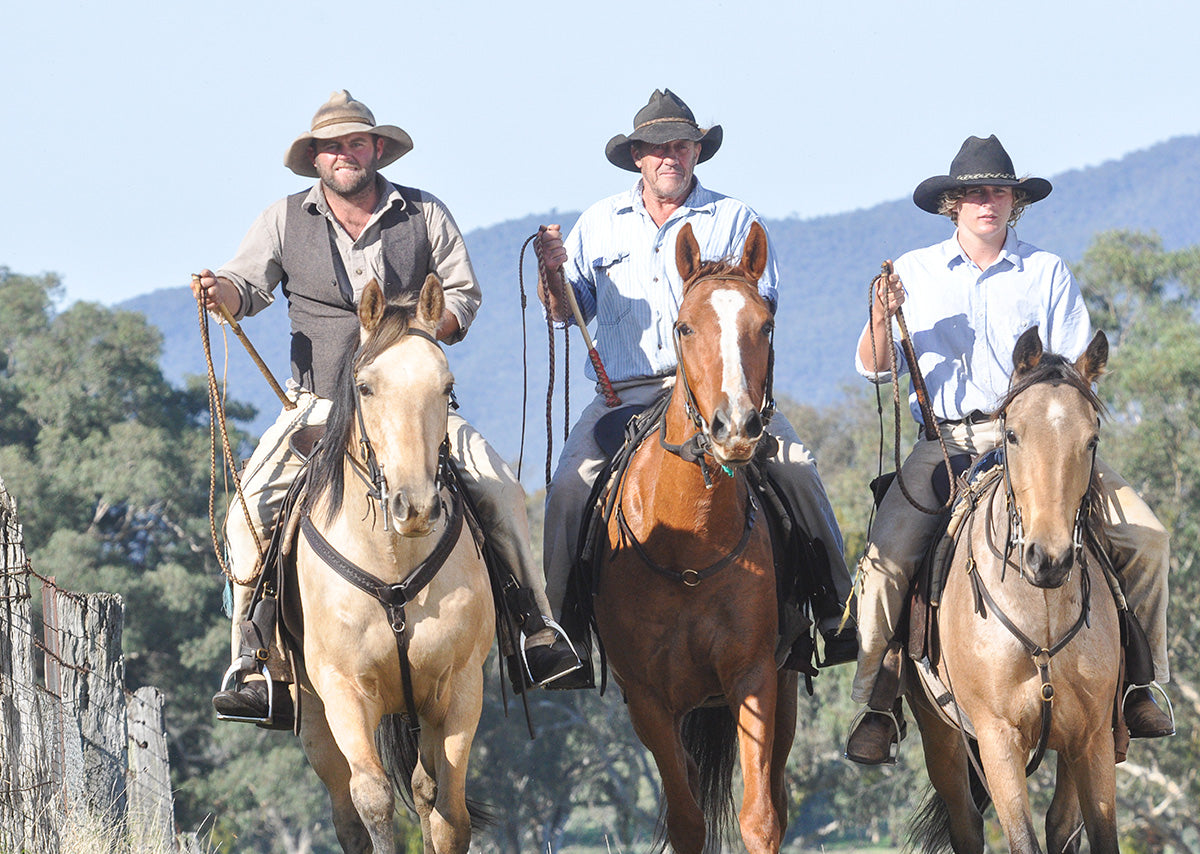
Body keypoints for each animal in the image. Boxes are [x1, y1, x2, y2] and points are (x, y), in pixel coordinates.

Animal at [292, 278, 494, 854]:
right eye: (365, 387)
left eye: (446, 387)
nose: (416, 507)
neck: (391, 568)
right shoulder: (343, 690)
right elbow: (374, 801)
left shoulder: (458, 688)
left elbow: (449, 812)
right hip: (315, 721)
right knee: (346, 811)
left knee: (426, 790)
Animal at [590, 221, 796, 854]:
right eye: (684, 326)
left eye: (766, 324)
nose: (736, 428)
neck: (689, 550)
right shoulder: (649, 701)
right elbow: (686, 822)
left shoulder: (754, 676)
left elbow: (760, 817)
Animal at [907, 326, 1123, 854]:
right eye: (1012, 434)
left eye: (1092, 439)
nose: (1049, 558)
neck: (1040, 613)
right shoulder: (996, 738)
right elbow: (1021, 838)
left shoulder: (1092, 738)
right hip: (941, 740)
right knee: (966, 822)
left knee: (1061, 825)